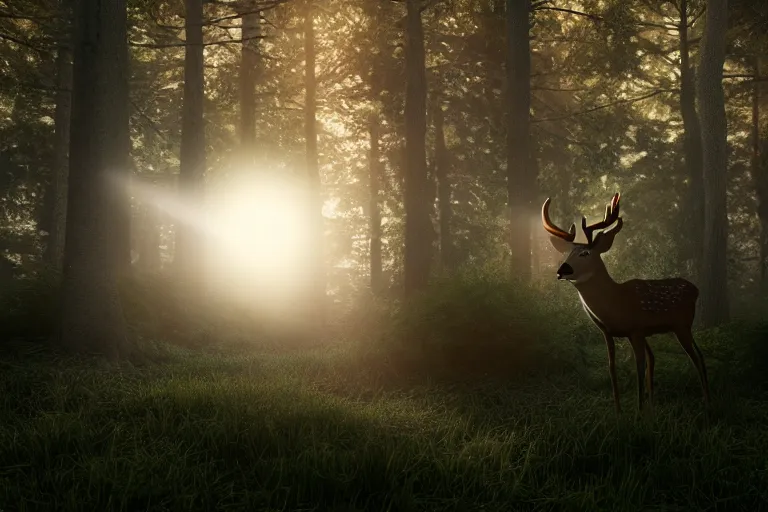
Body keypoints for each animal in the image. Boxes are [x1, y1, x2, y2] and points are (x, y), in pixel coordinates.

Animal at [544, 192, 712, 412]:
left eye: (584, 253)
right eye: (567, 253)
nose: (562, 270)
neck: (615, 302)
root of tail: (696, 289)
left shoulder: (636, 330)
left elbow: (638, 367)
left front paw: (638, 412)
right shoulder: (608, 333)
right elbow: (612, 367)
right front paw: (619, 411)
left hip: (682, 325)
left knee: (697, 357)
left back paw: (708, 404)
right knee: (666, 357)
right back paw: (657, 405)